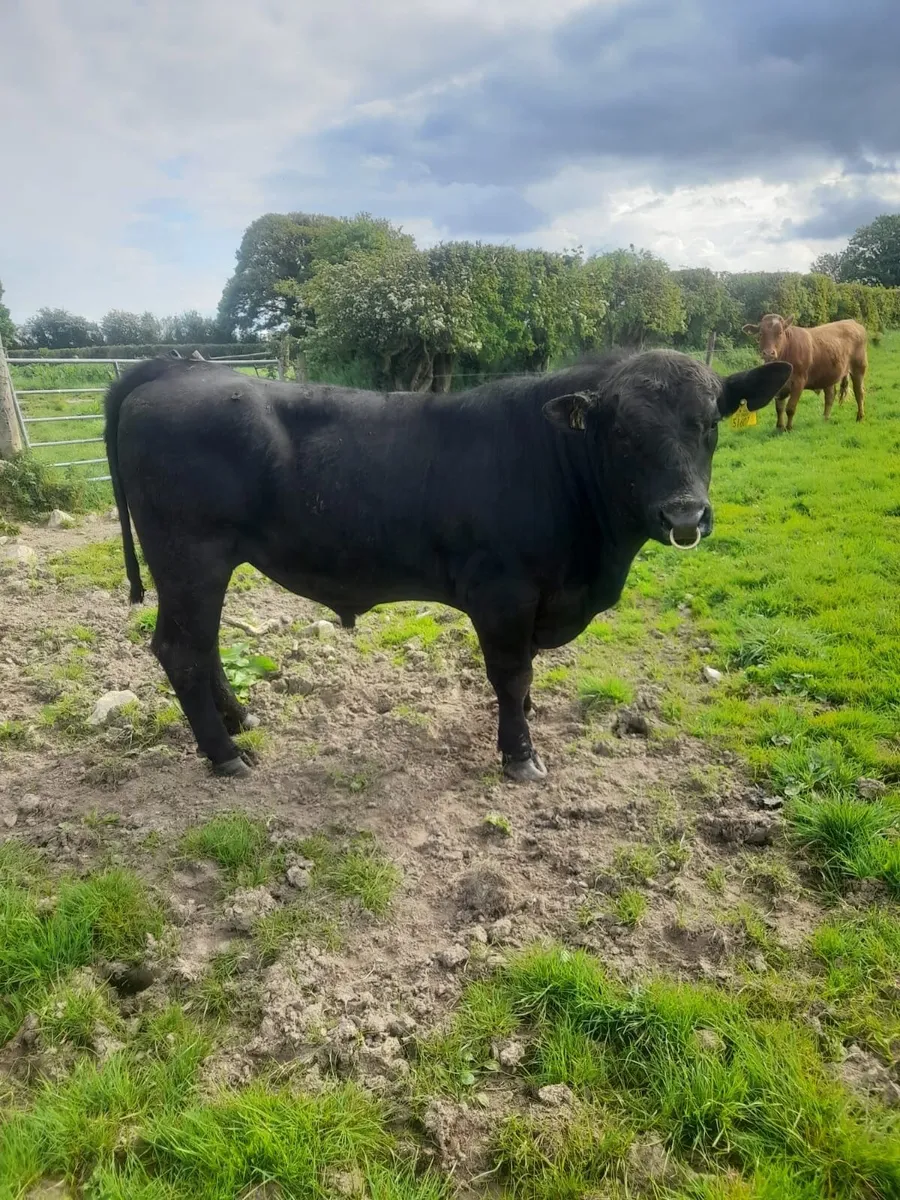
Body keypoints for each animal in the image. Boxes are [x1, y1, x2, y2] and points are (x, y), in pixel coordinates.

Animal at [104, 351, 791, 783]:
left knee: (203, 645)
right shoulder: (504, 594)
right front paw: (520, 755)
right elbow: (511, 676)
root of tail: (176, 368)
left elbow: (526, 678)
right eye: (622, 433)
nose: (685, 514)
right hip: (190, 556)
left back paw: (240, 719)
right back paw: (225, 755)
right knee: (181, 650)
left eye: (710, 423)